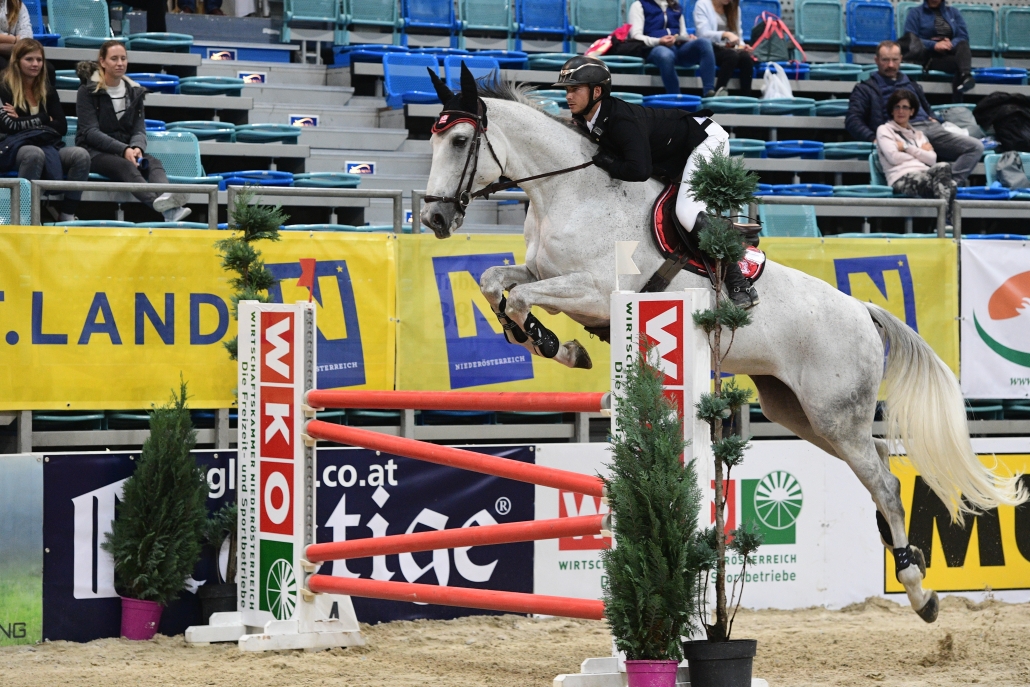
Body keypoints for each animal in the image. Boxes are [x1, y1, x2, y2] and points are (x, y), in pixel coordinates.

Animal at [420, 65, 1027, 622]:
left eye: (459, 140)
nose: (433, 216)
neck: (567, 192)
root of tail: (863, 312)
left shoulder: (594, 290)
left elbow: (521, 296)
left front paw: (553, 343)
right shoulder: (544, 274)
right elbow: (496, 282)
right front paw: (548, 342)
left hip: (833, 413)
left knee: (885, 481)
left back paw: (919, 590)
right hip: (800, 412)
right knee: (878, 461)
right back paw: (909, 563)